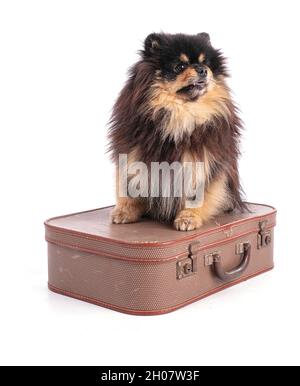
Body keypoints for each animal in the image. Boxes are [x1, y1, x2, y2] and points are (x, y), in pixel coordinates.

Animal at [109, 32, 245, 229]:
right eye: (180, 66)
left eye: (206, 63)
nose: (202, 69)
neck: (180, 114)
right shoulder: (134, 153)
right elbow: (129, 186)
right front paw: (124, 211)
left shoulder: (205, 162)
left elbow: (199, 195)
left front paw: (188, 218)